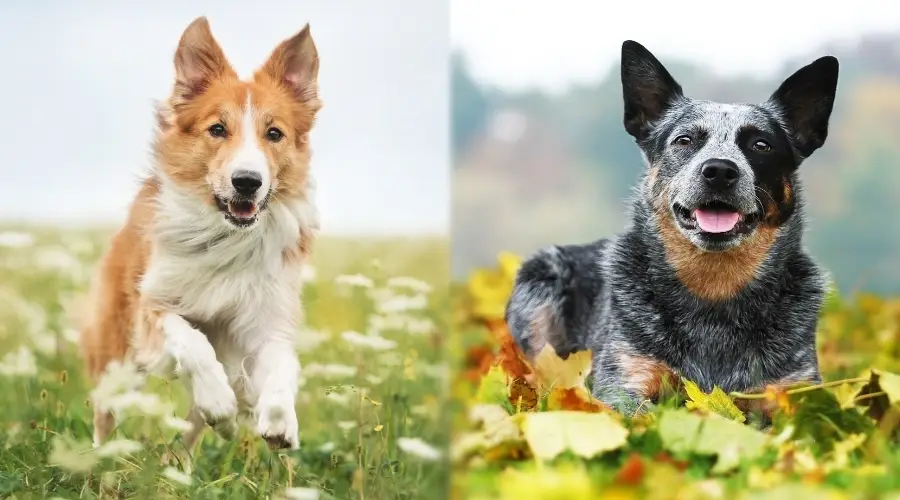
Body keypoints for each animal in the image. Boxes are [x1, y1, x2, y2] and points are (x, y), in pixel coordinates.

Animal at [79, 17, 322, 452]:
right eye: (218, 129)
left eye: (274, 133)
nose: (247, 182)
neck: (227, 237)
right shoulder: (152, 306)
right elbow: (193, 342)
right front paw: (219, 399)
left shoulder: (265, 318)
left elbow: (283, 364)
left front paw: (280, 421)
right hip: (116, 355)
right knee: (105, 415)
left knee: (188, 439)